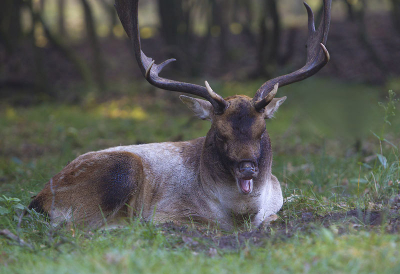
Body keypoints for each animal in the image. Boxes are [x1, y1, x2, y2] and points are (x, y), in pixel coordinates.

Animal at [28, 0, 332, 231]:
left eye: (262, 130)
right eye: (219, 133)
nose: (247, 168)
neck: (243, 213)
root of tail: (38, 200)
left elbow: (274, 217)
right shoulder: (169, 211)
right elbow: (207, 225)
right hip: (120, 170)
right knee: (77, 226)